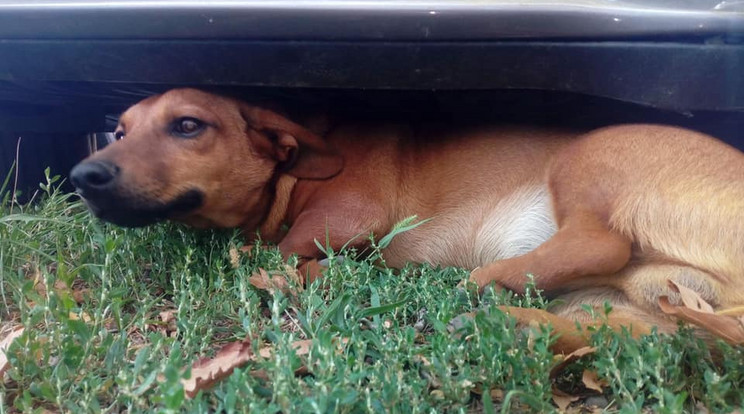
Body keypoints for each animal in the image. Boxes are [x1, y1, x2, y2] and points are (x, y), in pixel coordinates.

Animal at [71, 88, 744, 350]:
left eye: (188, 124)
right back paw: (504, 322)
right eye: (121, 130)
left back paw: (476, 285)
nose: (83, 176)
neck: (293, 175)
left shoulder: (345, 212)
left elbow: (275, 253)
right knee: (626, 328)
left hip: (587, 158)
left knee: (600, 242)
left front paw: (305, 274)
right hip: (635, 308)